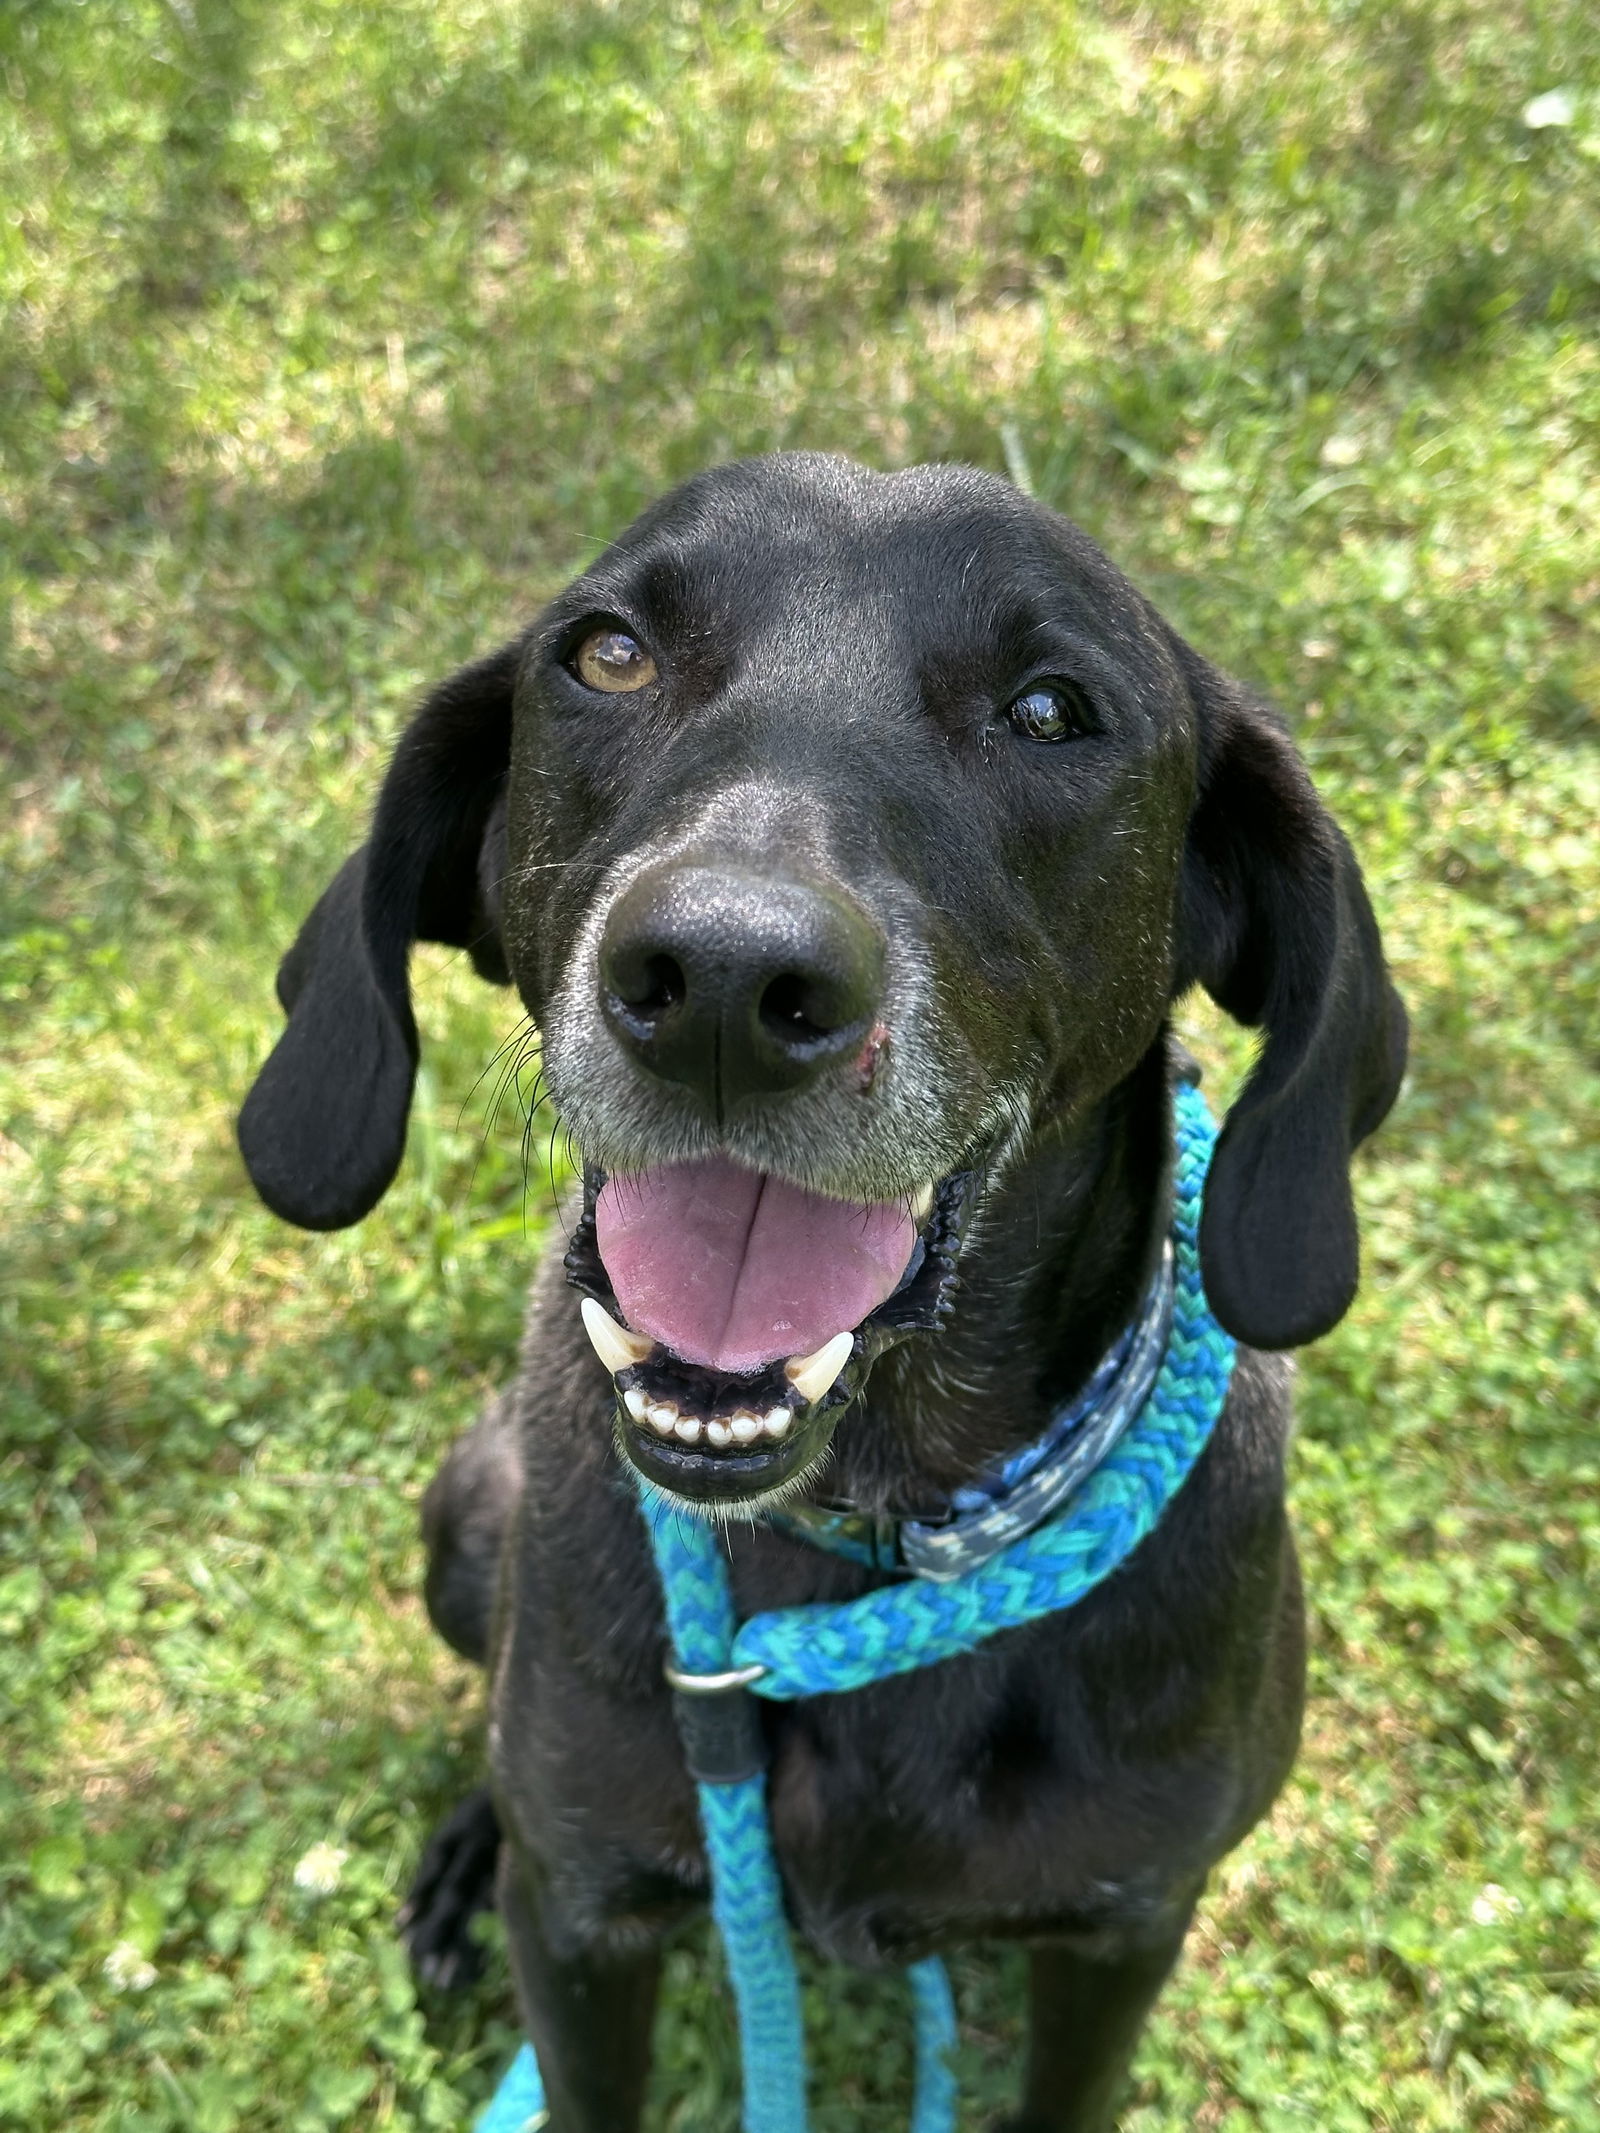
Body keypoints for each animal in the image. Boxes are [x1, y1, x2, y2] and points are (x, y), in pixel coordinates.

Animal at [234, 458, 1399, 2124]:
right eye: (608, 655)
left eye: (1052, 711)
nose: (722, 983)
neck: (873, 1524)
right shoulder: (580, 1926)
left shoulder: (1123, 1931)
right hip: (467, 1511)